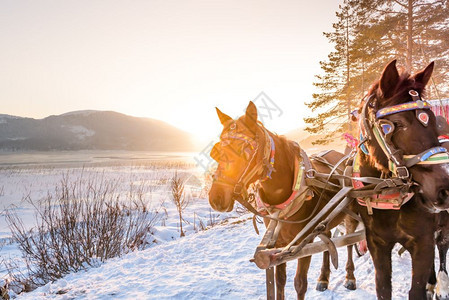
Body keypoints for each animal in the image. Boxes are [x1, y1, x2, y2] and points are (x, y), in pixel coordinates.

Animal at [208, 102, 356, 298]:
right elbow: (279, 281)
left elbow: (300, 283)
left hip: (351, 212)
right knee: (328, 239)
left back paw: (350, 277)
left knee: (349, 241)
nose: (216, 198)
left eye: (244, 151)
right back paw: (323, 278)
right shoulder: (277, 246)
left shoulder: (302, 243)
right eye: (216, 152)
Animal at [354, 59, 449, 298]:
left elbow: (415, 291)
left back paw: (442, 284)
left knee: (443, 245)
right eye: (397, 123)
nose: (445, 189)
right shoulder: (377, 243)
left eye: (432, 120)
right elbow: (382, 287)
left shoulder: (422, 241)